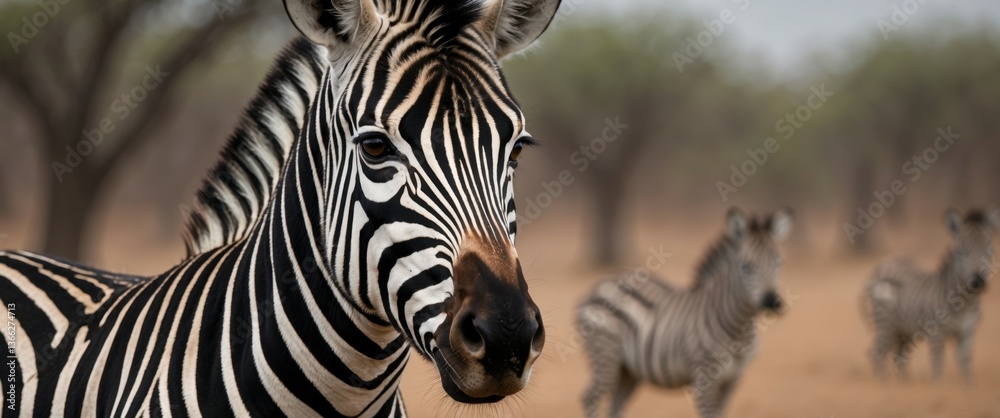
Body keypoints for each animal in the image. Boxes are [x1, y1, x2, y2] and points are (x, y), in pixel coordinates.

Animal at [577, 208, 793, 418]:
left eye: (779, 263)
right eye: (746, 267)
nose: (772, 302)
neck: (740, 330)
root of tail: (599, 284)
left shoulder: (734, 379)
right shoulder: (704, 378)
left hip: (629, 371)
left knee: (615, 405)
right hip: (606, 353)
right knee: (589, 397)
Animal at [863, 208, 999, 383]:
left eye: (989, 251)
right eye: (961, 252)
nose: (977, 282)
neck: (965, 303)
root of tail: (882, 266)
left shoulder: (968, 333)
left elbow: (966, 366)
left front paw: (968, 386)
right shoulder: (937, 335)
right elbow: (938, 366)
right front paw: (938, 387)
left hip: (904, 330)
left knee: (899, 357)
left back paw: (905, 384)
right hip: (885, 324)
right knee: (877, 354)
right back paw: (882, 384)